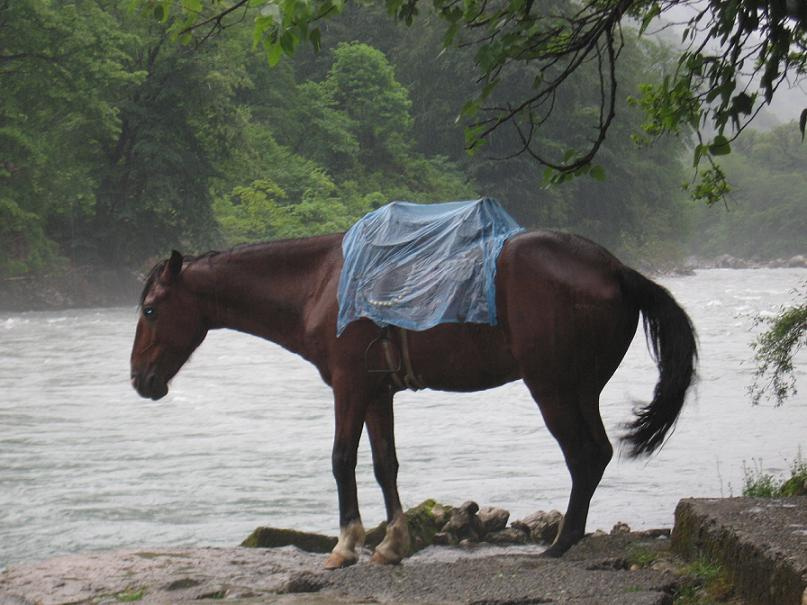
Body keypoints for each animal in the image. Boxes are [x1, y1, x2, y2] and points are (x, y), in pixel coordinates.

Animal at [130, 230, 697, 568]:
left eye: (152, 309)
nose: (139, 379)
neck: (323, 285)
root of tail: (614, 269)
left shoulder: (349, 387)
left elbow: (341, 460)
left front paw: (346, 546)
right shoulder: (377, 394)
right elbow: (386, 466)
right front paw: (391, 545)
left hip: (553, 389)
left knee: (584, 457)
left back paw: (559, 543)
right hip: (580, 391)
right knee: (596, 455)